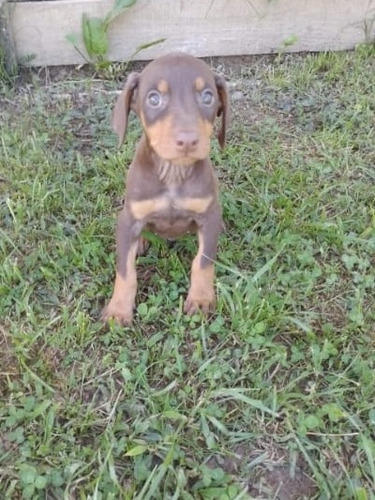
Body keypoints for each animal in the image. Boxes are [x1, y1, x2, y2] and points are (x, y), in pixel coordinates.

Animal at [103, 50, 231, 324]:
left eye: (208, 96)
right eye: (154, 98)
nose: (187, 140)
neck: (173, 173)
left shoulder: (208, 216)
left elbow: (203, 262)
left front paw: (201, 299)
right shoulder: (129, 218)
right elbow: (125, 272)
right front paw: (118, 310)